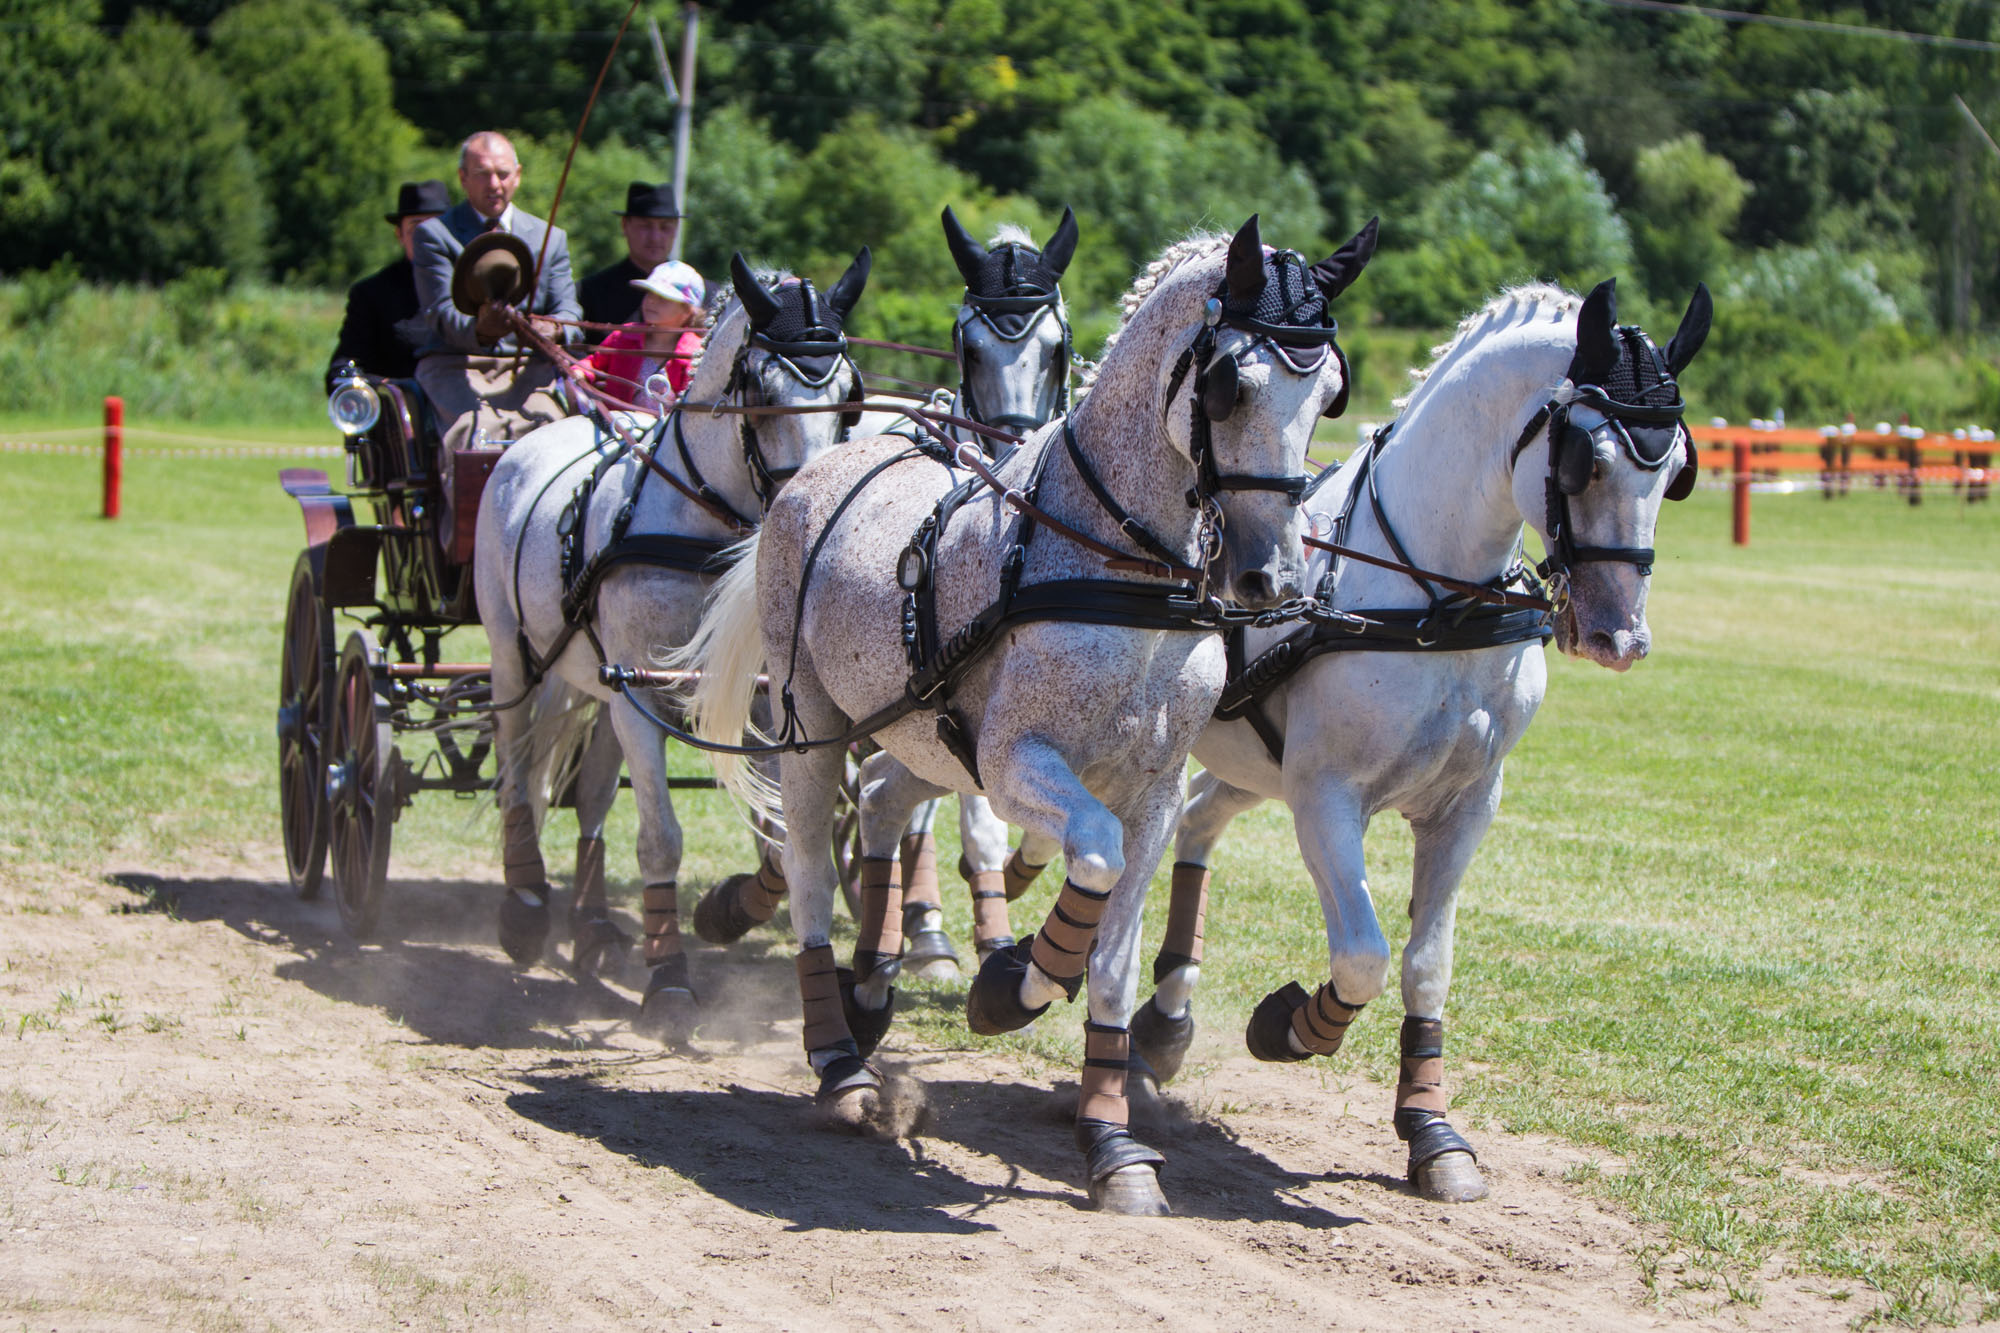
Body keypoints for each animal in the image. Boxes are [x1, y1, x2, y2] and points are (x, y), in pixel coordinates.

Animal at [476, 252, 876, 1040]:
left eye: (850, 395)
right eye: (761, 392)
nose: (806, 510)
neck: (699, 525)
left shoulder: (763, 701)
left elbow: (784, 842)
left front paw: (725, 911)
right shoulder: (638, 692)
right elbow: (660, 836)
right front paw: (668, 981)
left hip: (592, 681)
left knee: (592, 792)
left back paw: (593, 926)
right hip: (515, 656)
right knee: (517, 770)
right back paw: (525, 905)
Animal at [1128, 280, 1704, 1200]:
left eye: (1677, 467)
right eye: (1585, 459)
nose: (1619, 634)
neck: (1434, 599)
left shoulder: (1467, 806)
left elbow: (1426, 963)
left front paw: (1432, 1131)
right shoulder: (1326, 796)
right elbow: (1362, 953)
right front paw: (1292, 1024)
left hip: (1252, 764)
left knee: (1196, 822)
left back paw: (1161, 1024)